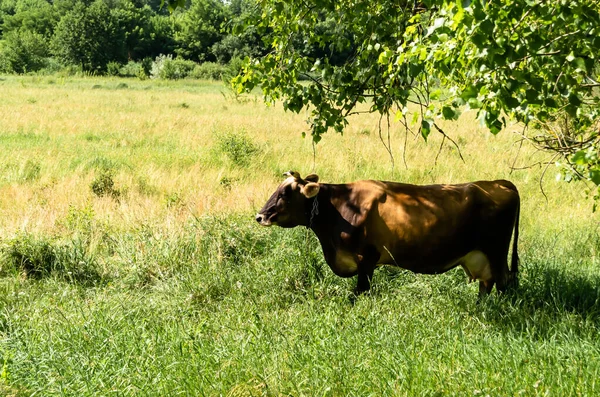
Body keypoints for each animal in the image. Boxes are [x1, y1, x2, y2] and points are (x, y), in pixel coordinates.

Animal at [255, 170, 516, 296]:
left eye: (285, 193)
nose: (260, 216)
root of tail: (501, 183)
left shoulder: (366, 259)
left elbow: (359, 293)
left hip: (496, 252)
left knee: (504, 283)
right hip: (481, 257)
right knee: (486, 284)